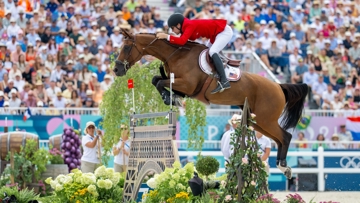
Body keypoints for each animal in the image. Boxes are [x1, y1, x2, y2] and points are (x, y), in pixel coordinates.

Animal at [114, 28, 308, 178]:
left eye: (126, 47)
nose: (116, 70)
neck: (176, 56)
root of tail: (279, 86)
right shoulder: (182, 87)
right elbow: (156, 80)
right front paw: (171, 98)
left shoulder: (188, 85)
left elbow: (160, 82)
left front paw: (170, 99)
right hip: (257, 121)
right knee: (280, 139)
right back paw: (284, 167)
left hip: (265, 119)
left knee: (285, 137)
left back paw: (283, 166)